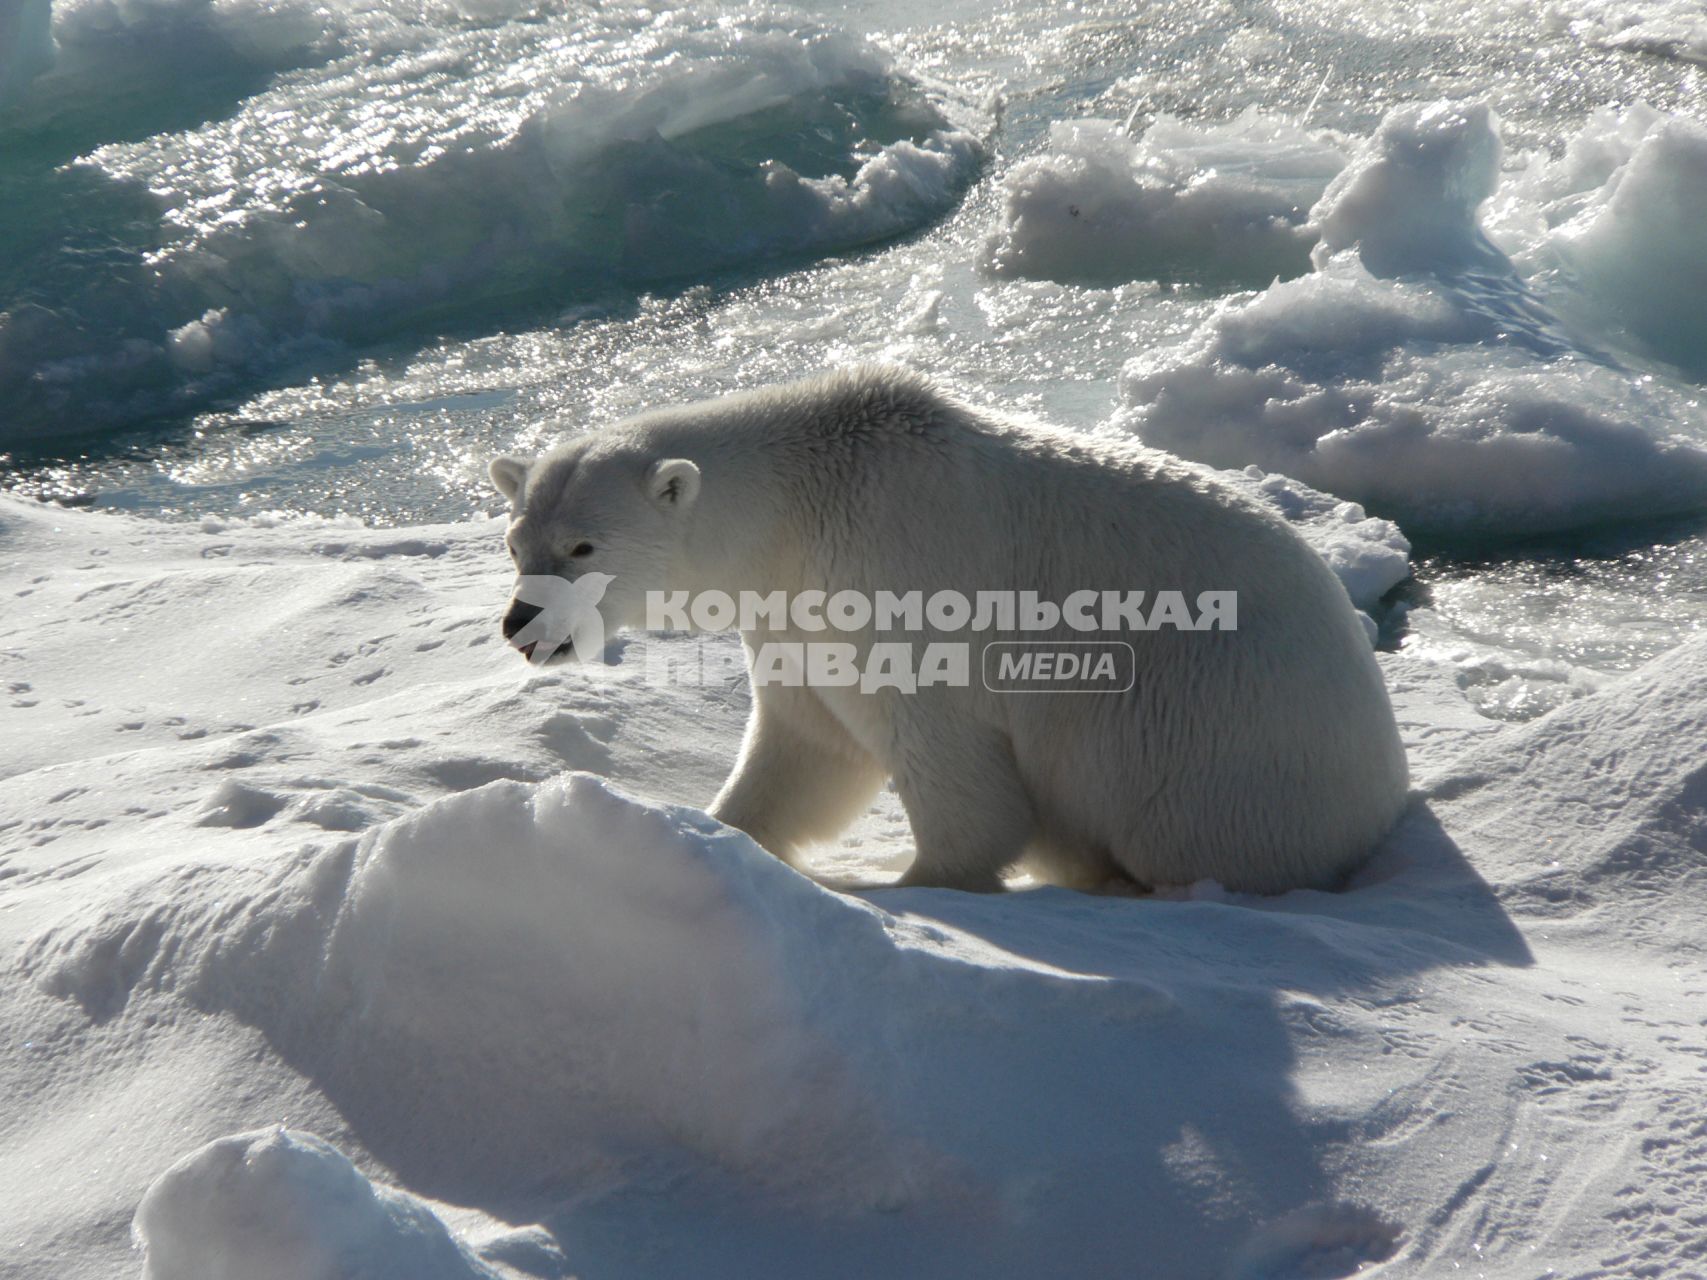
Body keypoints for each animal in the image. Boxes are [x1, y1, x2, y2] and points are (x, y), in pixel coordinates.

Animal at [488, 365, 1406, 894]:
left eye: (583, 546)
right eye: (517, 541)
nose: (521, 624)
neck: (799, 499)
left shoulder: (894, 573)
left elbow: (938, 746)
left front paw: (918, 885)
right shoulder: (792, 610)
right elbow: (807, 743)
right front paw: (719, 833)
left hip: (1218, 738)